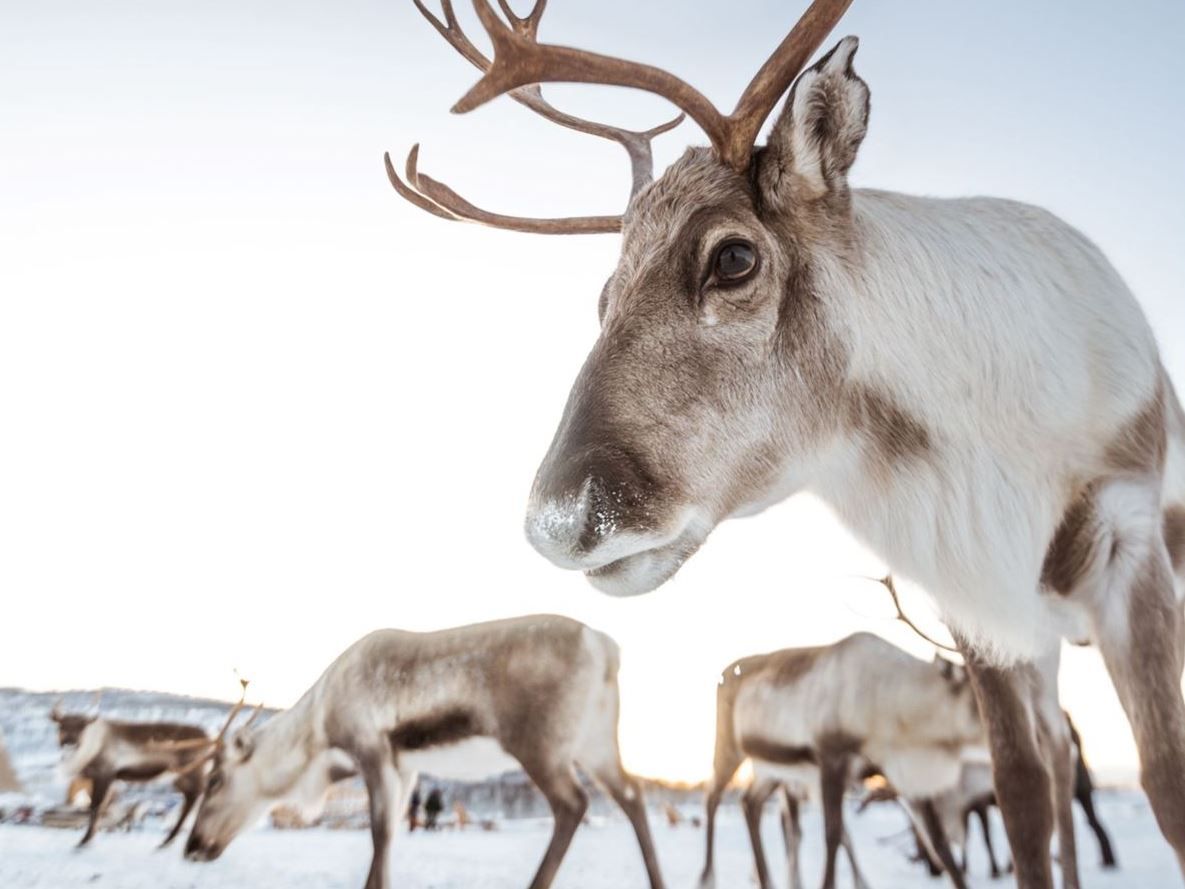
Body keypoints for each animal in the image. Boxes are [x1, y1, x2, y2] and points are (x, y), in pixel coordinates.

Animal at [50, 693, 236, 848]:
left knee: (197, 797)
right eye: (62, 726)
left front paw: (85, 840)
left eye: (81, 727)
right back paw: (172, 839)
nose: (70, 743)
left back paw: (171, 839)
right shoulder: (108, 779)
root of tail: (213, 738)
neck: (92, 747)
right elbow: (100, 807)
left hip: (191, 773)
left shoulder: (105, 773)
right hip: (181, 777)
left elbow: (95, 806)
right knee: (194, 797)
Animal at [182, 614, 665, 889]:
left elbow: (380, 836)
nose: (192, 847)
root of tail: (605, 647)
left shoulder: (372, 749)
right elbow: (392, 834)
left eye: (216, 779)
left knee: (573, 804)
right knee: (632, 794)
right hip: (596, 743)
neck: (319, 734)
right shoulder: (406, 768)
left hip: (540, 746)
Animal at [699, 633, 983, 889]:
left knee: (750, 802)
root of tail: (723, 673)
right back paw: (707, 878)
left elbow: (940, 843)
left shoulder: (899, 772)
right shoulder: (832, 757)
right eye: (975, 699)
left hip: (774, 771)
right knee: (712, 797)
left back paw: (766, 881)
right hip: (729, 749)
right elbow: (833, 833)